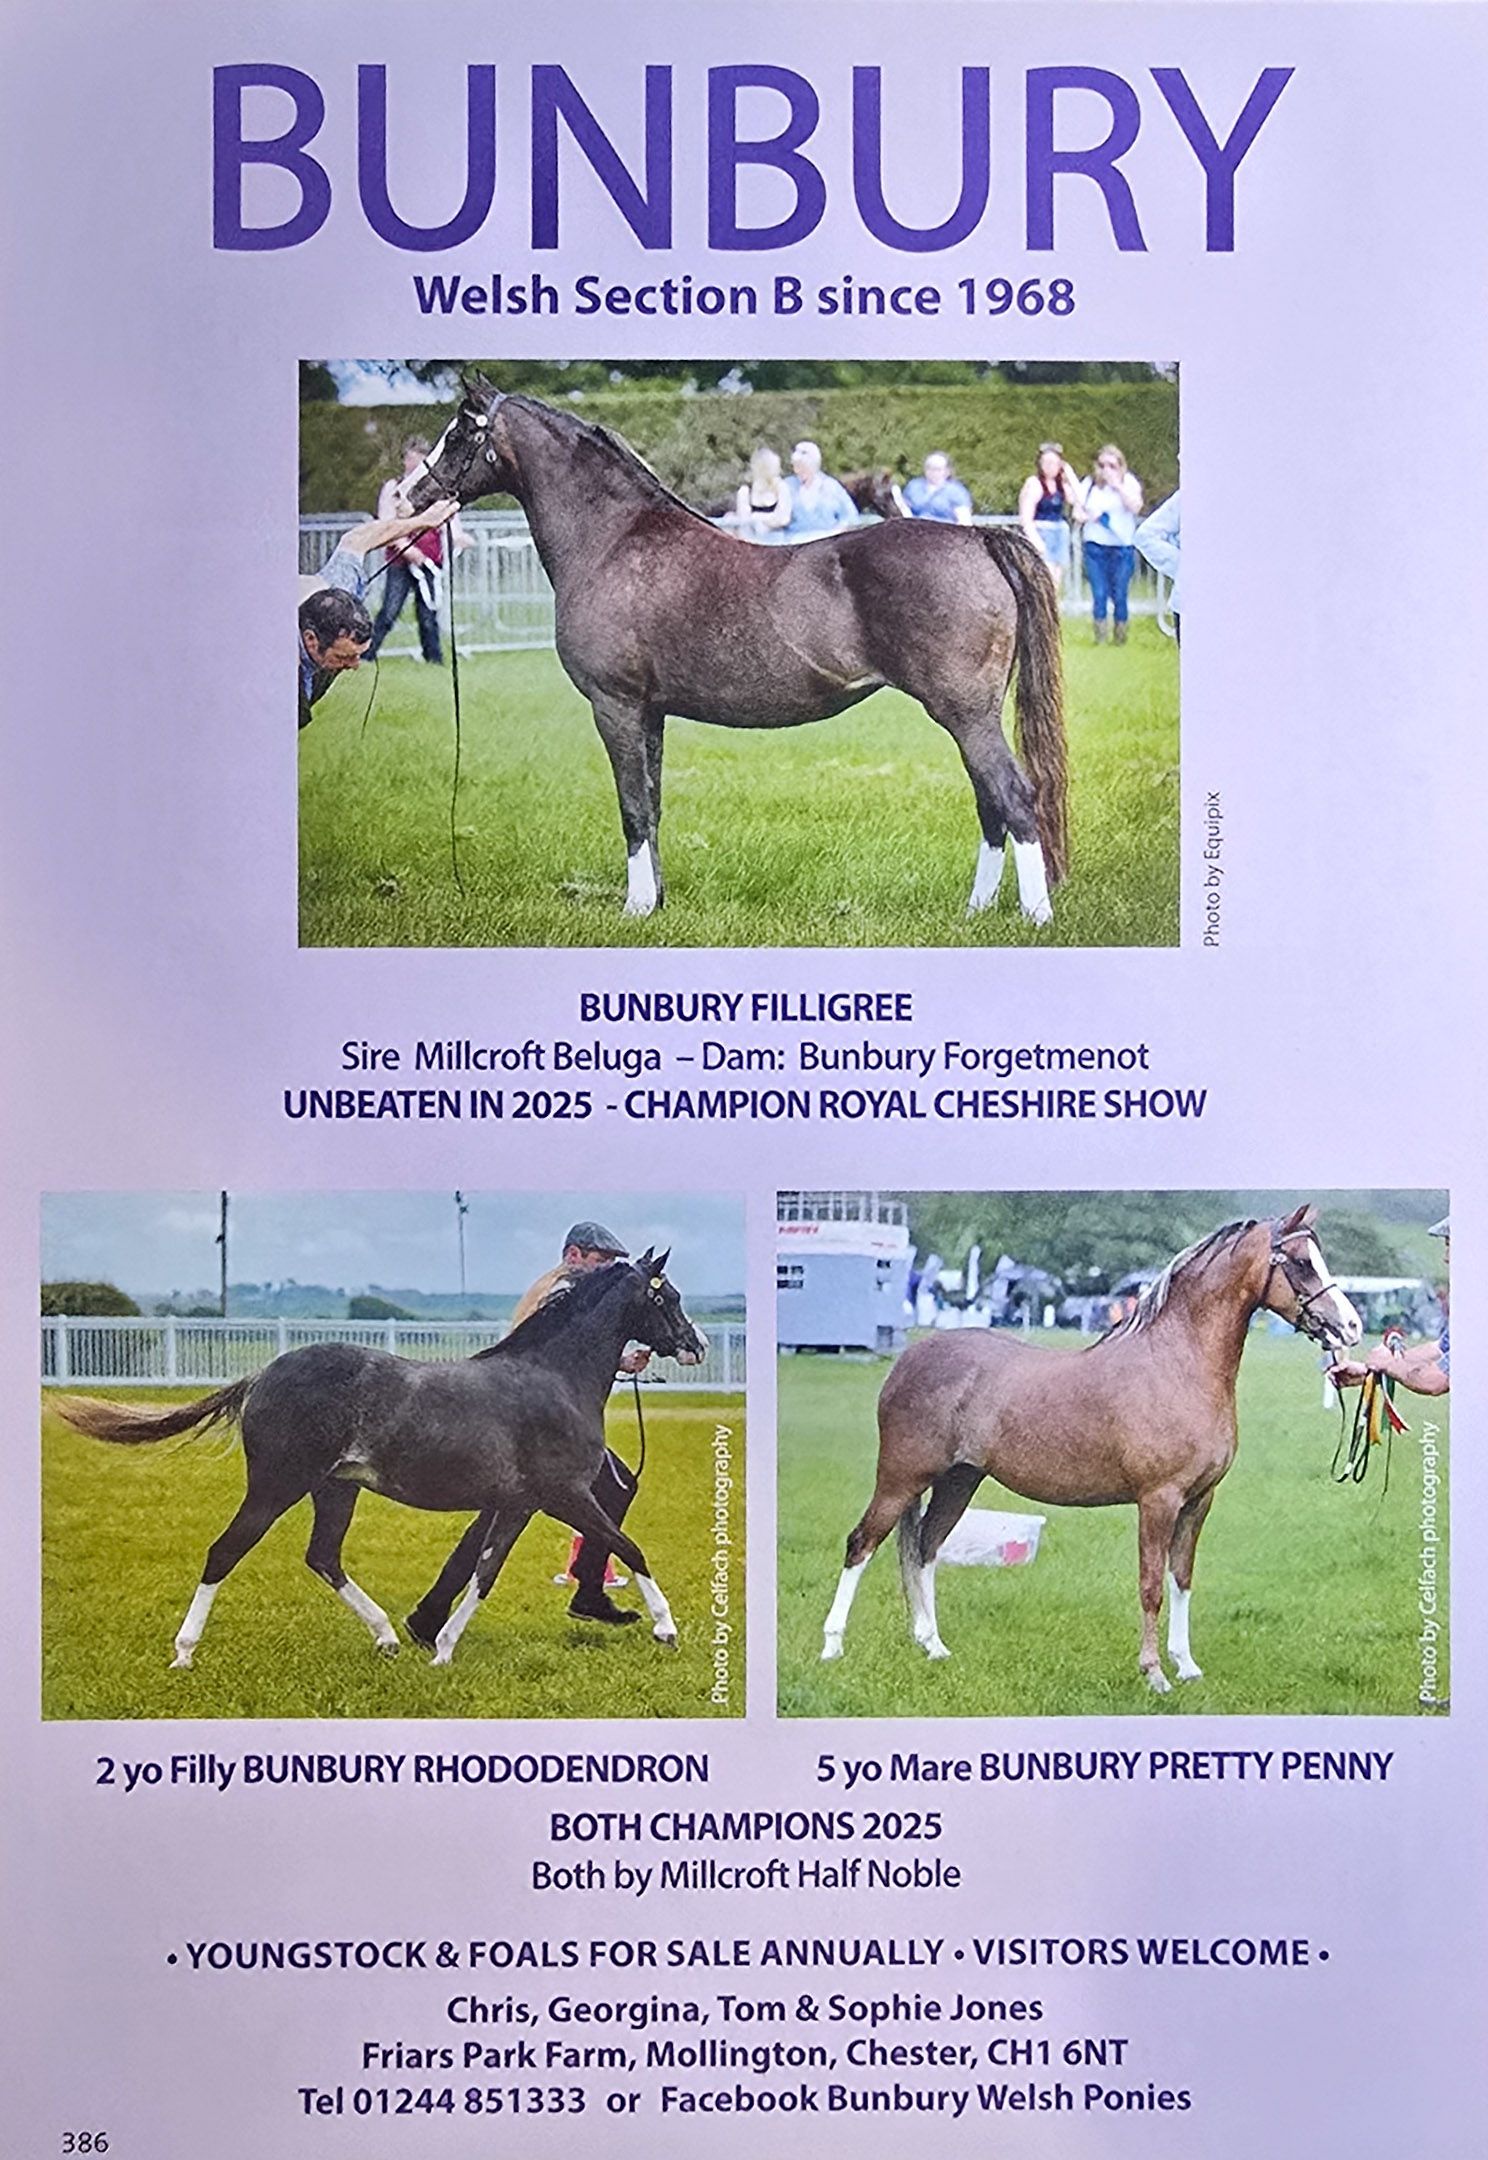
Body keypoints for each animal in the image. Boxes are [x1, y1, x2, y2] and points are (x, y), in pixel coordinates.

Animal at [53, 1252, 706, 1671]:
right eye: (669, 1296)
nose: (696, 1345)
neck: (553, 1379)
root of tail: (262, 1375)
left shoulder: (519, 1504)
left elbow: (485, 1572)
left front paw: (441, 1650)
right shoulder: (567, 1494)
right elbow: (629, 1548)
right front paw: (667, 1628)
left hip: (335, 1488)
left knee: (323, 1557)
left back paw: (389, 1638)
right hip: (277, 1485)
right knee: (224, 1552)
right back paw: (185, 1653)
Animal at [407, 377, 1067, 925]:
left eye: (459, 431)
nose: (413, 496)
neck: (614, 542)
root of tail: (978, 537)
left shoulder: (615, 706)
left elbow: (632, 807)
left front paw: (635, 908)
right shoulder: (650, 713)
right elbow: (653, 802)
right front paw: (657, 901)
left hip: (965, 714)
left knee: (1013, 797)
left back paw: (1035, 917)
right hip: (971, 717)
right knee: (990, 803)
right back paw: (977, 910)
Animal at [820, 1207, 1362, 1693]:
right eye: (1300, 1262)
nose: (1352, 1327)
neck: (1179, 1365)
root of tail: (907, 1359)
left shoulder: (1198, 1501)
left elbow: (1181, 1579)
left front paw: (1186, 1665)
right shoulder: (1158, 1500)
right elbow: (1150, 1586)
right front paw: (1154, 1673)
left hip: (959, 1480)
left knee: (926, 1548)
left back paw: (933, 1645)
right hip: (901, 1478)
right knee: (861, 1544)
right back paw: (833, 1646)